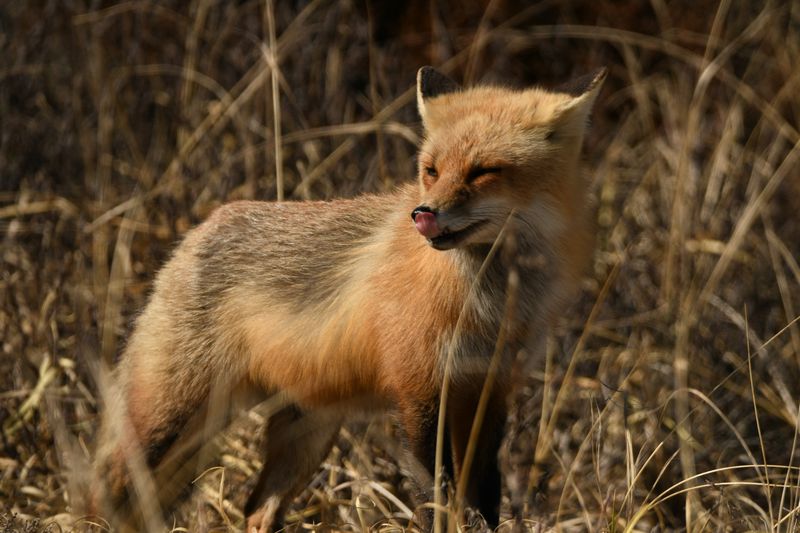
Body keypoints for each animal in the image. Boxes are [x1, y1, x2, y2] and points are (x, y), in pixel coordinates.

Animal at [91, 65, 605, 531]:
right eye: (431, 170)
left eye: (484, 172)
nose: (423, 214)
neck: (491, 304)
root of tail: (193, 232)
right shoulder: (418, 390)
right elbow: (434, 497)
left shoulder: (488, 390)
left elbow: (485, 494)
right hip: (168, 419)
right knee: (107, 484)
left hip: (306, 434)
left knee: (256, 511)